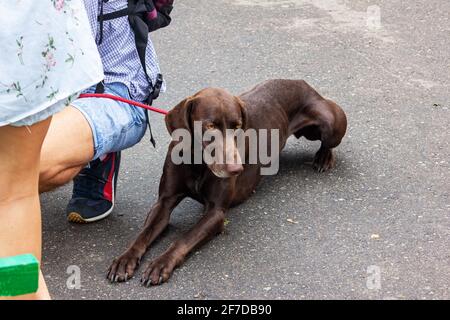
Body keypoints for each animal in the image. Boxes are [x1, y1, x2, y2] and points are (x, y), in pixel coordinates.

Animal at [106, 79, 348, 284]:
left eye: (237, 125)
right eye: (210, 126)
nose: (235, 169)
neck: (198, 162)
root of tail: (304, 84)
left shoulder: (216, 212)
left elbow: (184, 238)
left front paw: (160, 263)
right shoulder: (164, 202)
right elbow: (143, 234)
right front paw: (124, 260)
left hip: (330, 123)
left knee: (328, 142)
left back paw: (323, 158)